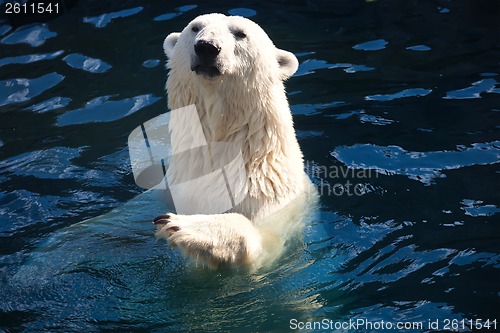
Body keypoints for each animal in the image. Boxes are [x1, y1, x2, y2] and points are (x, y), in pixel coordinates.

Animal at [154, 13, 314, 268]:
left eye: (240, 33)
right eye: (195, 27)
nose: (207, 47)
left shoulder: (271, 198)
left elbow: (265, 243)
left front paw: (185, 226)